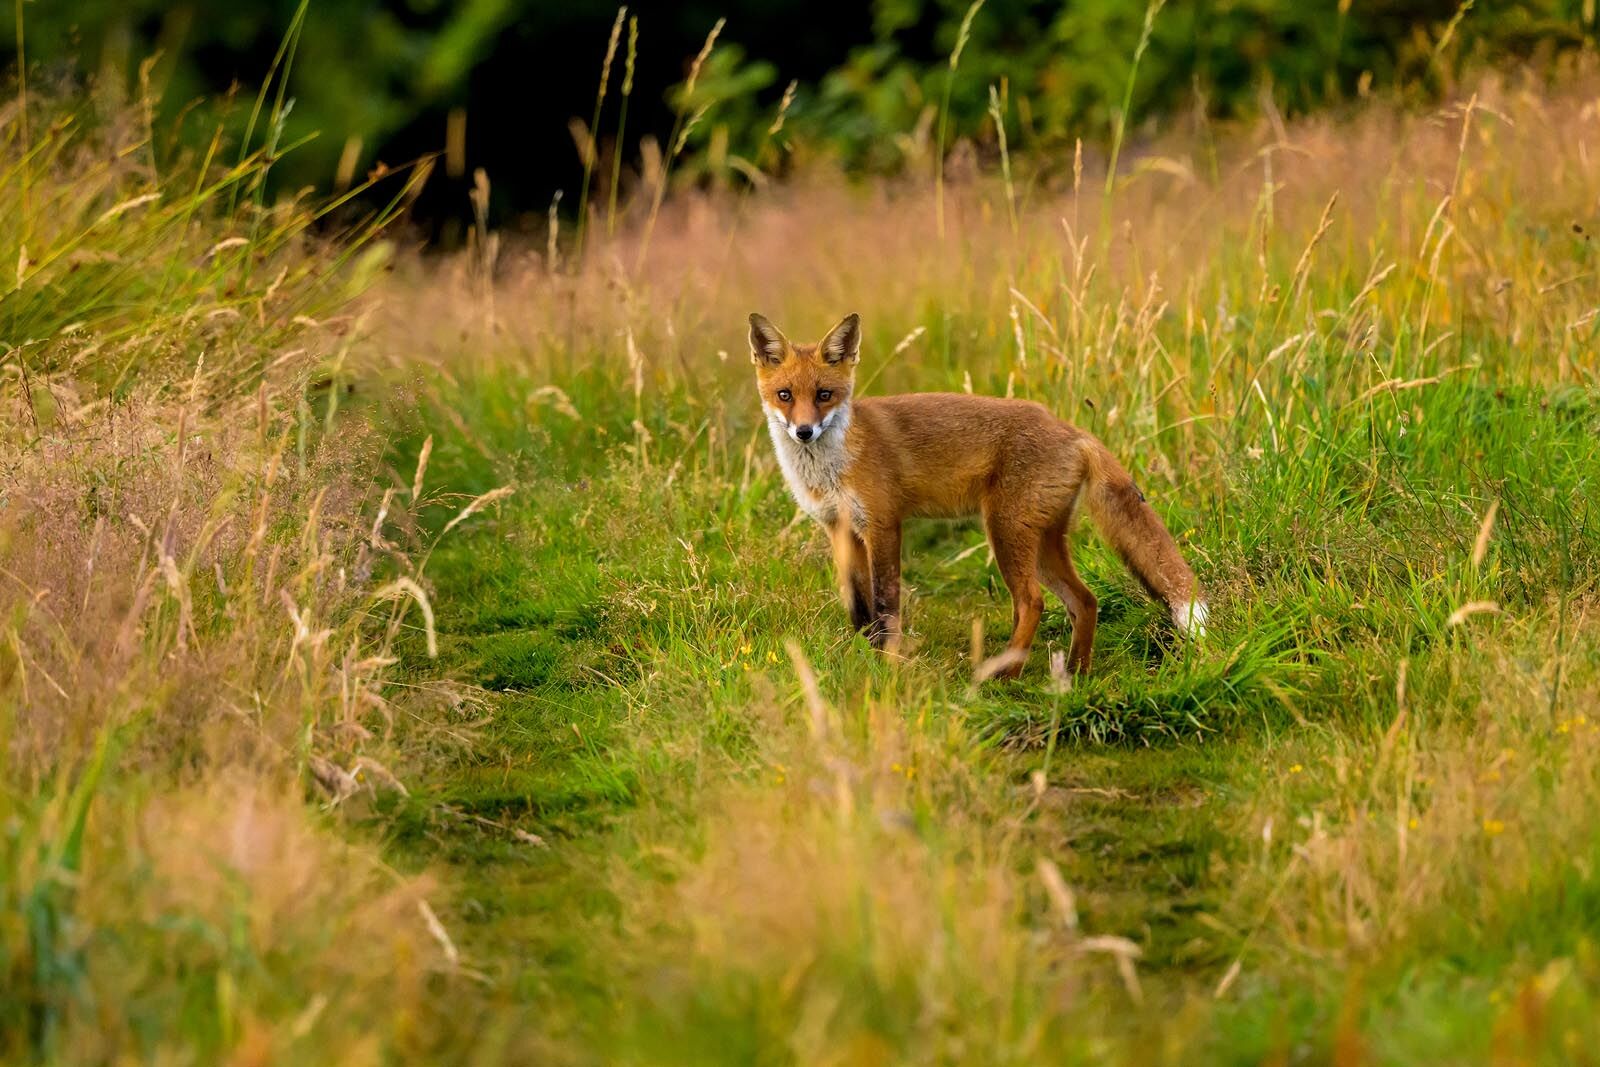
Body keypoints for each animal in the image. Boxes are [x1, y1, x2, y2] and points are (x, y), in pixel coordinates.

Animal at [749, 311, 1206, 678]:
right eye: (785, 395)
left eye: (824, 395)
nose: (804, 431)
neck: (831, 467)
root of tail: (1073, 430)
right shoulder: (839, 528)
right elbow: (858, 604)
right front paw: (864, 654)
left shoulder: (883, 525)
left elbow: (885, 603)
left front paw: (889, 662)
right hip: (1043, 542)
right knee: (1086, 601)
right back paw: (1076, 674)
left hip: (1005, 531)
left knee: (1033, 603)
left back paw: (1006, 674)